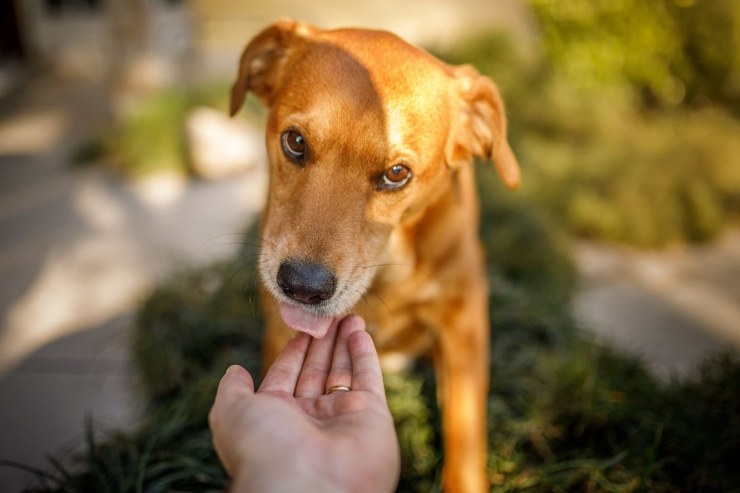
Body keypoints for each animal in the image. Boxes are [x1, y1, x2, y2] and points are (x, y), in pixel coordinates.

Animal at [231, 20, 520, 492]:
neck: (386, 273)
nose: (301, 287)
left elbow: (465, 432)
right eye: (295, 142)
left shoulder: (464, 323)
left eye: (397, 174)